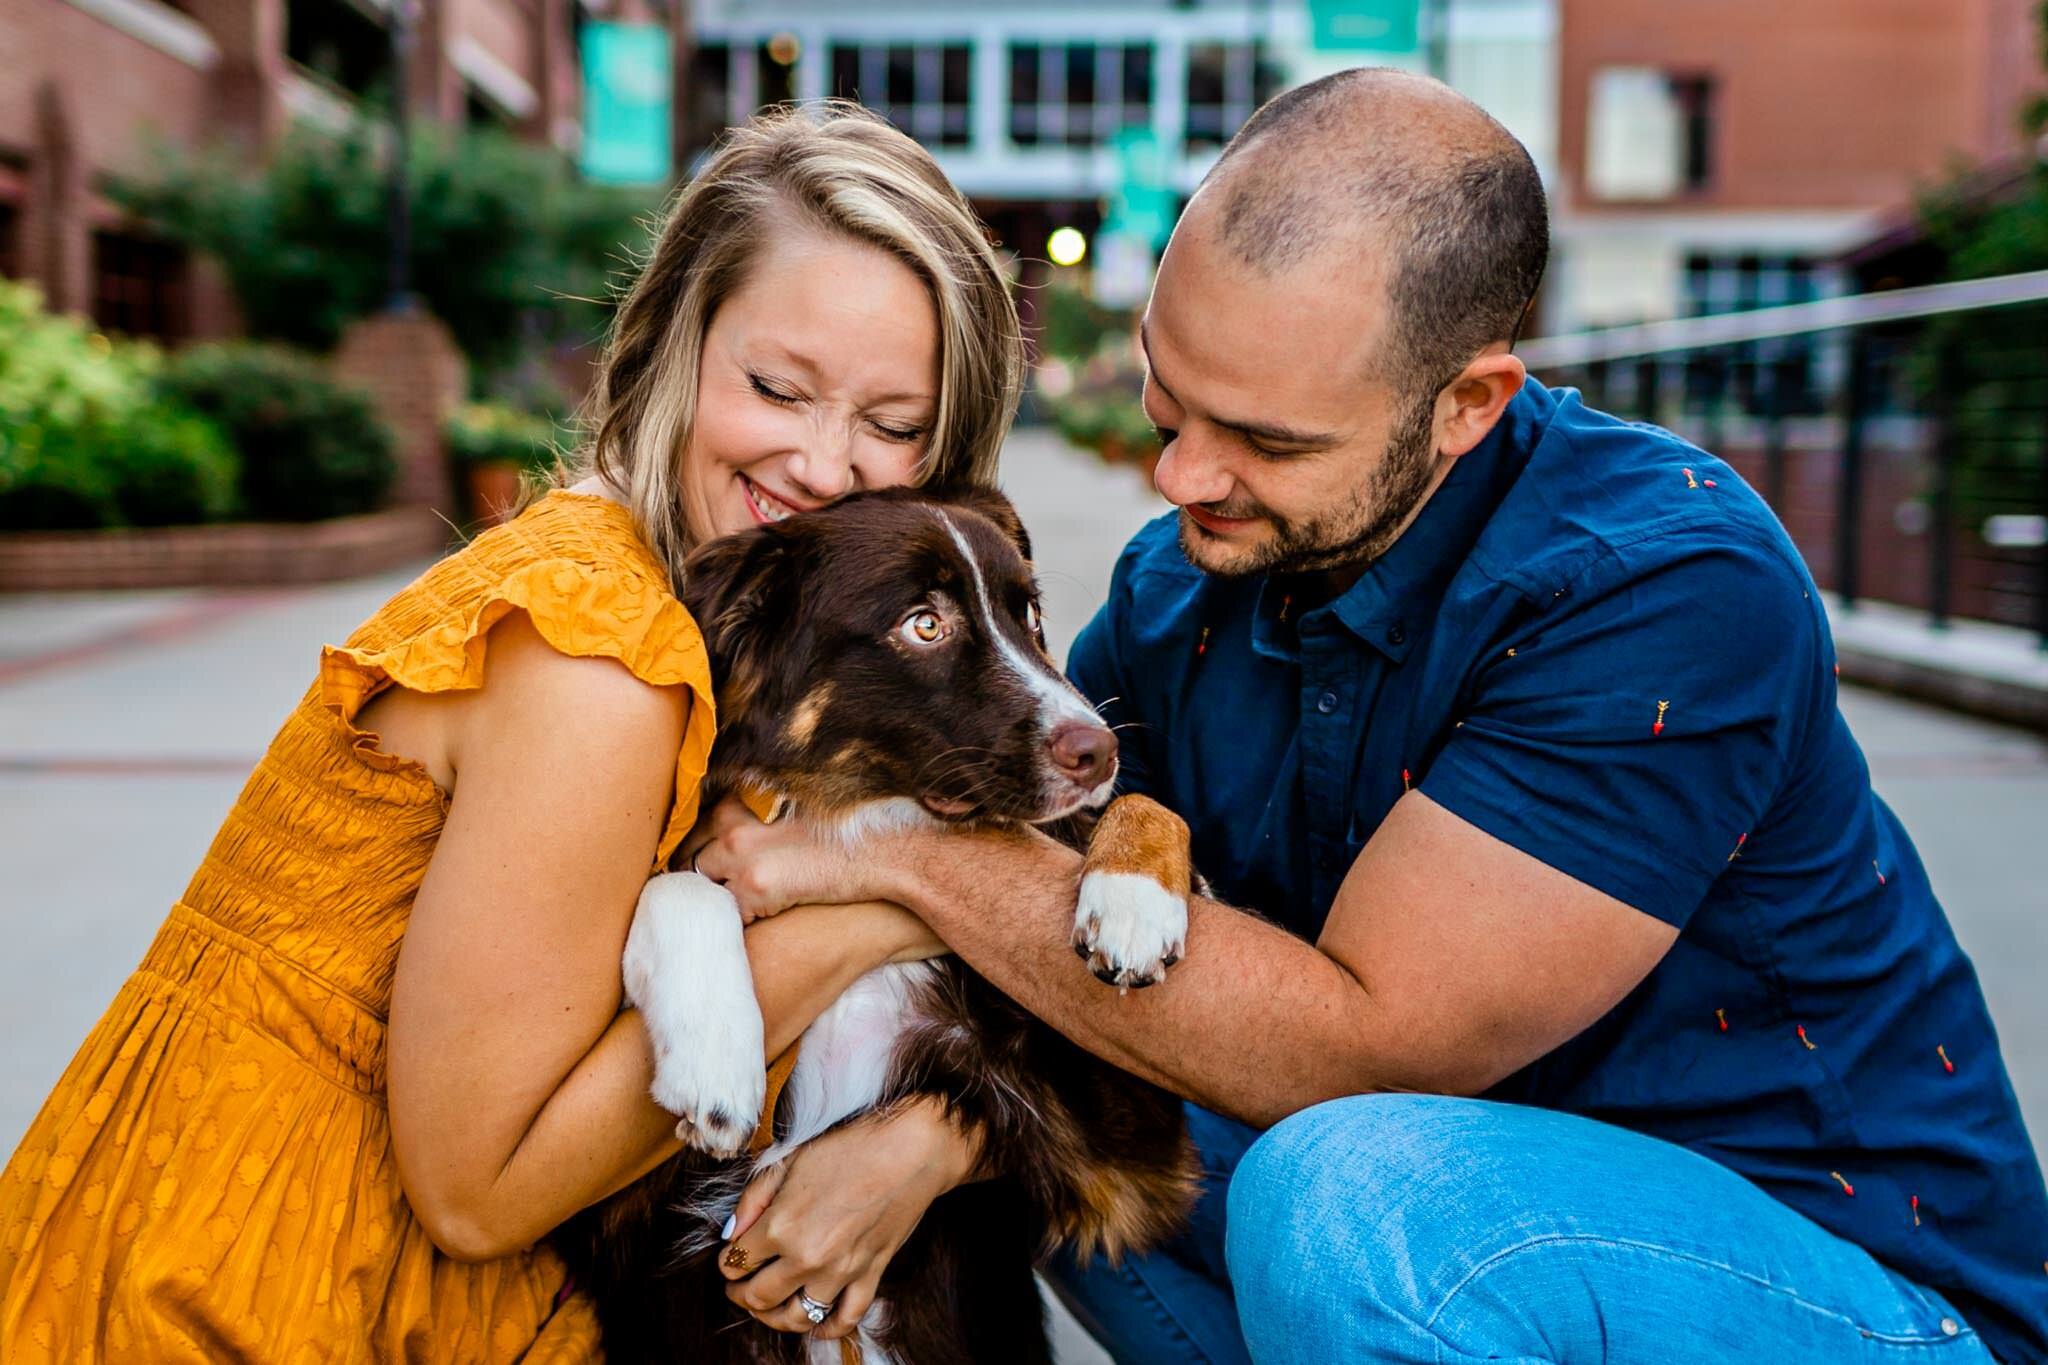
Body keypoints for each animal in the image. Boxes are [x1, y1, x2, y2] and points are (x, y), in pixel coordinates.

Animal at [557, 485, 1196, 1358]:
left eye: (1029, 615)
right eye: (924, 624)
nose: (1099, 750)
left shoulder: (1129, 1155)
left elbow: (1148, 804)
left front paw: (1136, 898)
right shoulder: (611, 1210)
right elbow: (677, 886)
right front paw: (716, 1063)